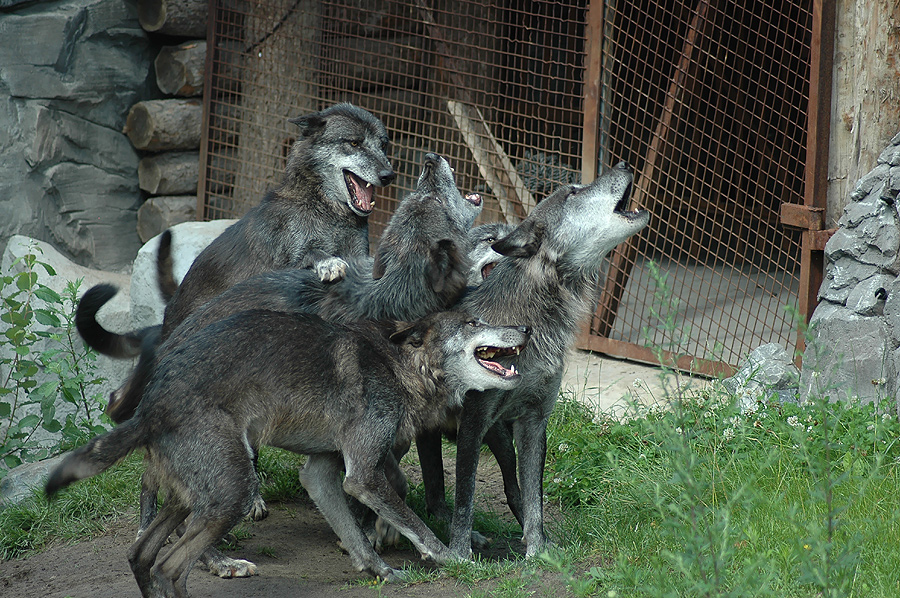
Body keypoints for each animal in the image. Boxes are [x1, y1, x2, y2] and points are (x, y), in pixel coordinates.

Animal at [44, 312, 528, 596]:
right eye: (473, 322)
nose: (524, 328)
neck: (400, 367)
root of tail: (151, 404)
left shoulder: (321, 473)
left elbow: (355, 533)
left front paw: (381, 571)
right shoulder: (362, 475)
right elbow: (417, 524)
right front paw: (453, 559)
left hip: (193, 497)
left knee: (142, 554)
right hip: (235, 492)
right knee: (169, 567)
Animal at [426, 162, 652, 560]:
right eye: (573, 192)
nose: (625, 164)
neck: (532, 318)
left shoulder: (534, 420)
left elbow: (536, 497)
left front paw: (538, 549)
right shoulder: (473, 423)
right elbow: (465, 498)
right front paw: (460, 556)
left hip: (501, 436)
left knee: (511, 486)